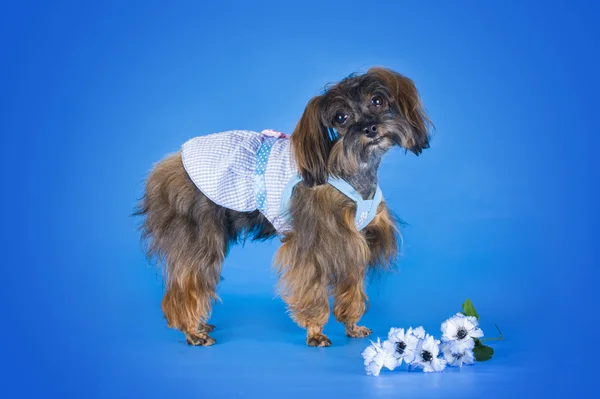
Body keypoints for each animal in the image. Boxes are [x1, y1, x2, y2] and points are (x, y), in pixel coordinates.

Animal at [135, 68, 428, 346]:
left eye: (377, 101)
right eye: (341, 117)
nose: (370, 128)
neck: (351, 168)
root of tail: (169, 163)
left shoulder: (355, 243)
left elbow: (352, 287)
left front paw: (352, 325)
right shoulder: (316, 246)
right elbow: (312, 289)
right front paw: (315, 332)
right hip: (200, 240)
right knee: (186, 287)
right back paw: (191, 330)